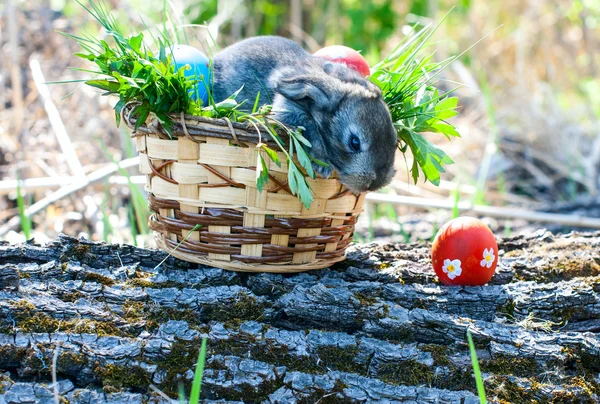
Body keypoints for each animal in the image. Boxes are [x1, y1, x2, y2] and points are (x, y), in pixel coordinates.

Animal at [212, 35, 398, 193]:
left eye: (394, 140)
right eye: (354, 142)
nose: (374, 184)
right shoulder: (288, 108)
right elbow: (310, 126)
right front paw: (323, 164)